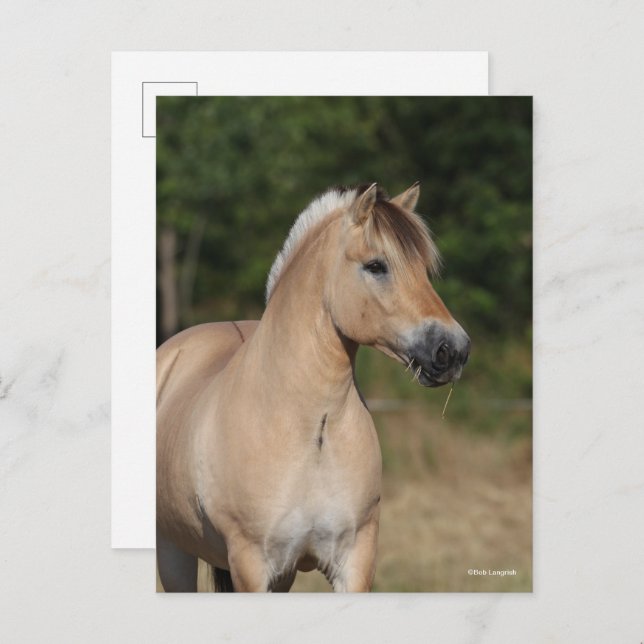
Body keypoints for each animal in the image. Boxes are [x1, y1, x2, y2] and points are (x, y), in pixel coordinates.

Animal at [156, 182, 470, 592]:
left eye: (423, 270)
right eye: (376, 265)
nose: (454, 350)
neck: (311, 429)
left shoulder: (353, 561)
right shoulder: (251, 566)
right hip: (173, 553)